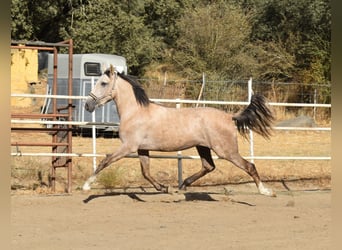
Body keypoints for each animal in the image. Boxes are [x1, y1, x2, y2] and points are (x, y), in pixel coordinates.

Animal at [83, 65, 278, 197]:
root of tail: (230, 117)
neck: (135, 112)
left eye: (103, 83)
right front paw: (163, 188)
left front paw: (87, 186)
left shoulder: (128, 147)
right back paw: (182, 185)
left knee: (249, 166)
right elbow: (146, 172)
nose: (87, 105)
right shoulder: (142, 148)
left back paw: (266, 191)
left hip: (226, 151)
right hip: (203, 147)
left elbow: (105, 161)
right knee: (208, 166)